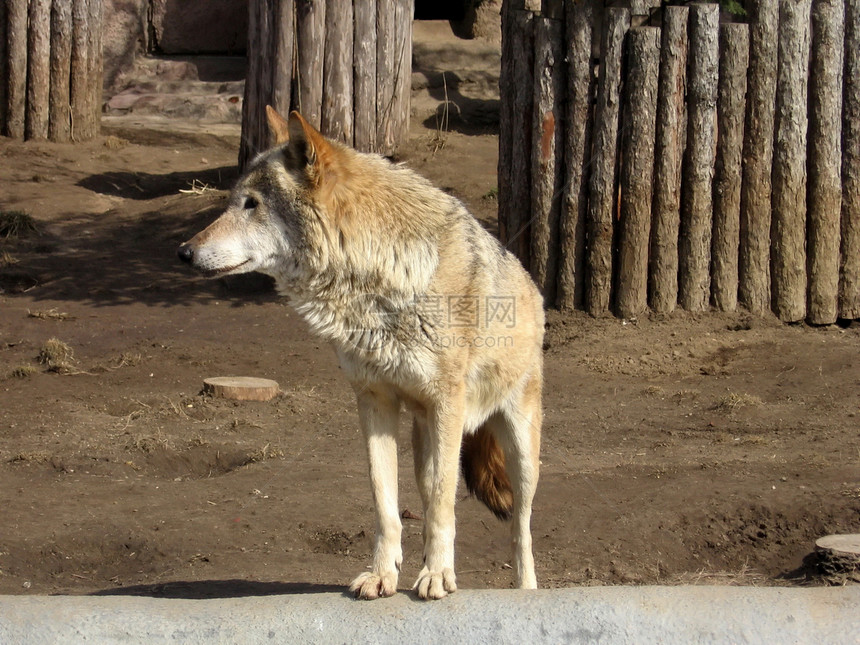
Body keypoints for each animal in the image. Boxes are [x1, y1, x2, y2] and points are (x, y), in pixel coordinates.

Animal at [179, 107, 544, 600]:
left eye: (251, 204)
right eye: (234, 201)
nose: (184, 252)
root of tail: (532, 285)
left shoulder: (447, 402)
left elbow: (444, 510)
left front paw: (436, 577)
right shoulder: (373, 402)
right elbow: (386, 505)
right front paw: (383, 575)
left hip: (519, 450)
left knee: (519, 528)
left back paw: (523, 590)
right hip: (425, 445)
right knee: (429, 496)